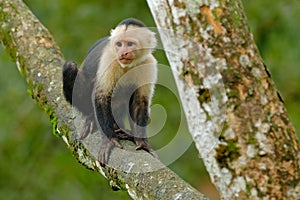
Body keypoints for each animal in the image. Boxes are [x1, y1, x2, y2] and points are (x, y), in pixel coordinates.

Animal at [62, 18, 158, 163]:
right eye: (119, 44)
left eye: (130, 44)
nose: (123, 53)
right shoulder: (110, 59)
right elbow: (101, 96)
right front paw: (109, 140)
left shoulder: (148, 63)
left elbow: (140, 102)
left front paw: (142, 143)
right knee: (70, 67)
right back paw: (91, 117)